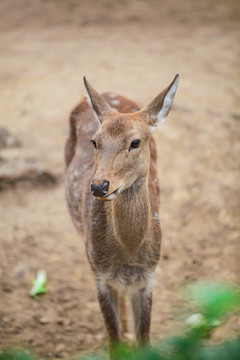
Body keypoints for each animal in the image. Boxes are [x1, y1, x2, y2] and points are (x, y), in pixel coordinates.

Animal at [64, 74, 179, 358]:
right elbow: (113, 343)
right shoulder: (99, 275)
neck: (128, 251)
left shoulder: (148, 278)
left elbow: (145, 341)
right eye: (94, 142)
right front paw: (122, 340)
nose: (98, 186)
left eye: (135, 142)